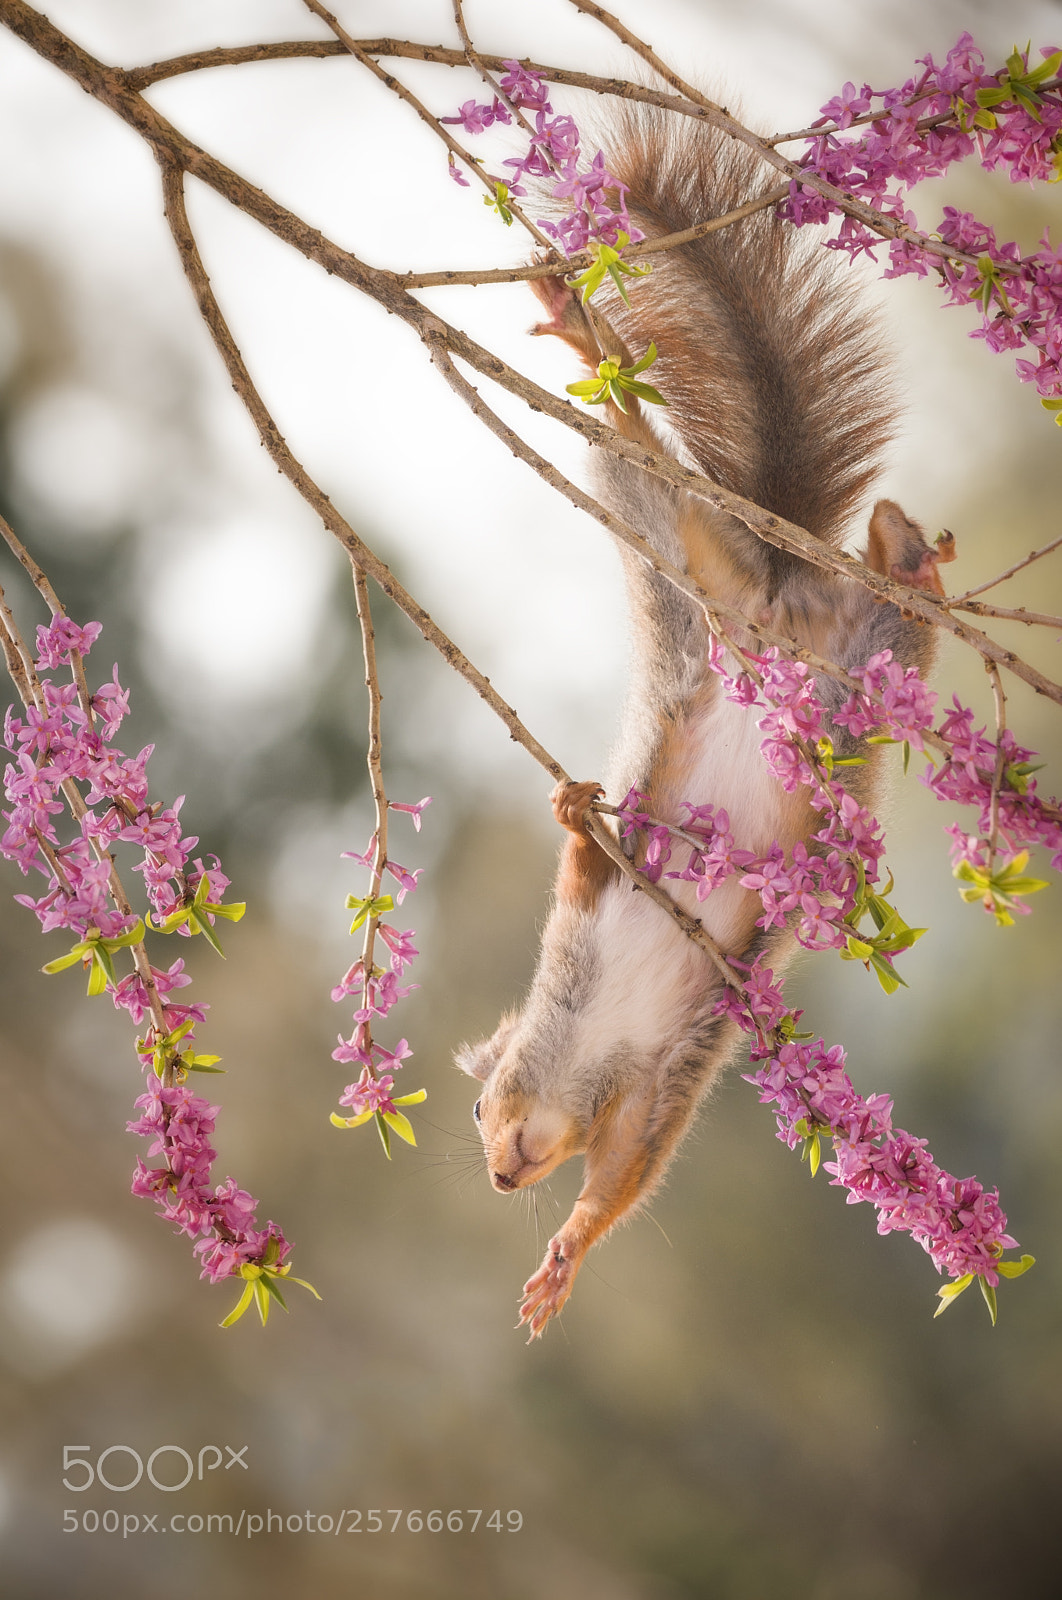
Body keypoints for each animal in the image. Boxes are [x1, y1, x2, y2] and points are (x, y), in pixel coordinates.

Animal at [455, 105, 954, 1339]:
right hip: (819, 635)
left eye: (483, 1106)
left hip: (699, 552)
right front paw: (561, 1256)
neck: (587, 1043)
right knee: (878, 613)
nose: (501, 1176)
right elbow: (630, 1160)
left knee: (637, 443)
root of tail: (784, 602)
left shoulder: (644, 1014)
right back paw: (900, 551)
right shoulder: (652, 1080)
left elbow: (589, 863)